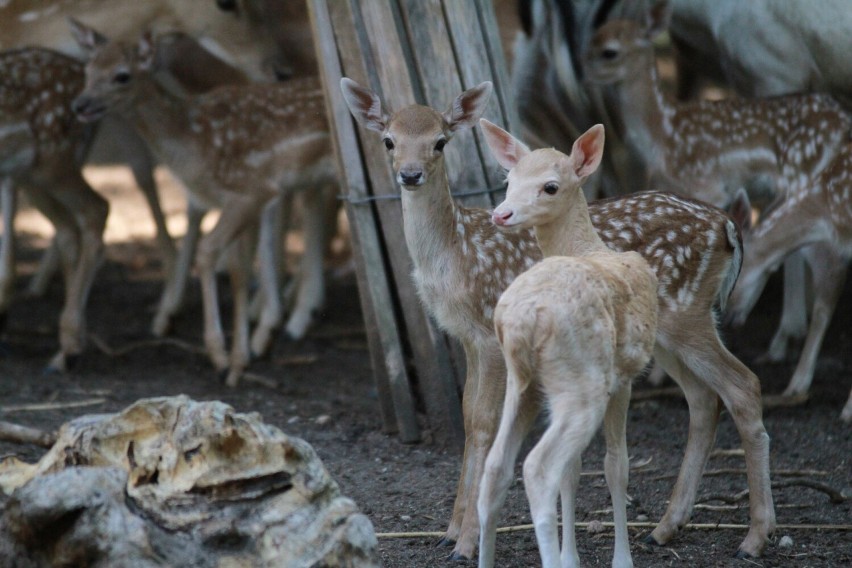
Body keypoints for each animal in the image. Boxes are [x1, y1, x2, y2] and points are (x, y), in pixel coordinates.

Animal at [73, 23, 334, 386]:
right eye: (87, 70)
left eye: (121, 76)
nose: (80, 105)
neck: (192, 142)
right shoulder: (236, 200)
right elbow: (238, 270)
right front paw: (239, 362)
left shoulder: (251, 189)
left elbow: (208, 251)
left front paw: (220, 357)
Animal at [340, 77, 772, 560]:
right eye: (389, 140)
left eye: (440, 141)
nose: (410, 174)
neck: (455, 256)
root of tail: (727, 226)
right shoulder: (466, 337)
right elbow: (469, 417)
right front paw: (450, 530)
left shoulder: (490, 335)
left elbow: (483, 424)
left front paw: (466, 541)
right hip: (663, 331)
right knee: (703, 397)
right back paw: (664, 527)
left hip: (687, 313)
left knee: (743, 385)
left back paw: (754, 537)